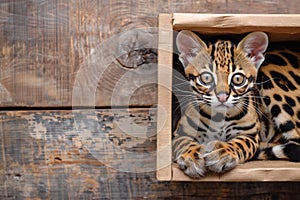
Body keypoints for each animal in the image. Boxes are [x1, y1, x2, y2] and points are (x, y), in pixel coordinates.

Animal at [173, 30, 300, 178]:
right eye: (206, 77)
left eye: (238, 79)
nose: (222, 97)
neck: (219, 117)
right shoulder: (179, 133)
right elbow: (184, 143)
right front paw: (192, 157)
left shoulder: (250, 135)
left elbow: (240, 143)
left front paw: (223, 153)